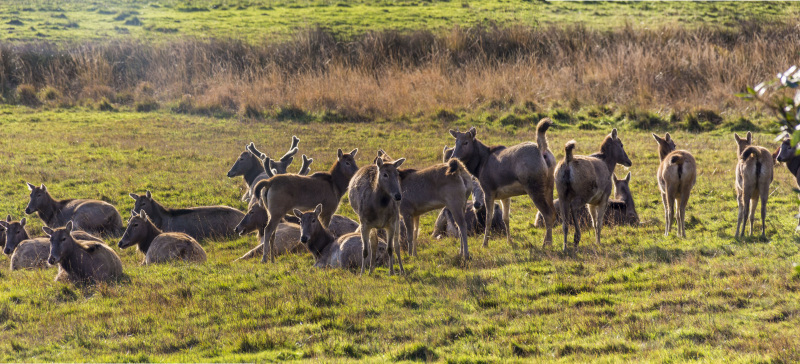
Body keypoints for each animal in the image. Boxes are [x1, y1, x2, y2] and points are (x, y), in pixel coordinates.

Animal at [450, 118, 556, 249]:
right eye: (455, 142)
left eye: (465, 142)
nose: (453, 157)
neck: (479, 167)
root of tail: (543, 150)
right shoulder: (505, 195)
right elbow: (506, 218)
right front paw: (509, 241)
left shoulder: (488, 190)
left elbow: (488, 219)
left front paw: (484, 244)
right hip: (550, 184)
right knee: (553, 212)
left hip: (534, 187)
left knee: (547, 214)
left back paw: (546, 244)